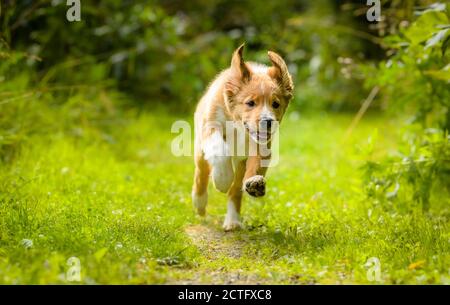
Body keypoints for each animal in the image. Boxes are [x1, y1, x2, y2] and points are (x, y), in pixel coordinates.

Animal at [191, 43, 294, 230]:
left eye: (276, 104)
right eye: (250, 103)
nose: (268, 122)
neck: (239, 126)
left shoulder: (262, 145)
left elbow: (255, 165)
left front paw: (254, 182)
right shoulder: (210, 127)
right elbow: (219, 151)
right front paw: (222, 179)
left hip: (240, 163)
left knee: (235, 190)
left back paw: (232, 221)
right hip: (200, 149)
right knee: (201, 173)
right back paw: (200, 203)